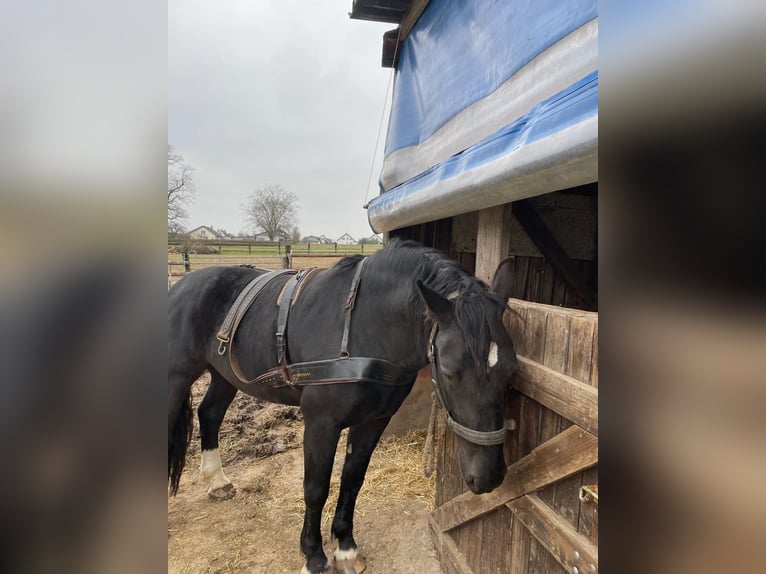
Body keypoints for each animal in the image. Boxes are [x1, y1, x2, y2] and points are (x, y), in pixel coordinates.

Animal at [167, 238, 516, 574]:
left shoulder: (373, 421)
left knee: (209, 414)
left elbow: (352, 479)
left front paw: (346, 547)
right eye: (448, 370)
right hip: (177, 377)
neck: (362, 329)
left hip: (223, 375)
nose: (489, 477)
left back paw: (218, 482)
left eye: (511, 369)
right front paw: (313, 555)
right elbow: (316, 487)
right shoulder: (320, 422)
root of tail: (182, 285)